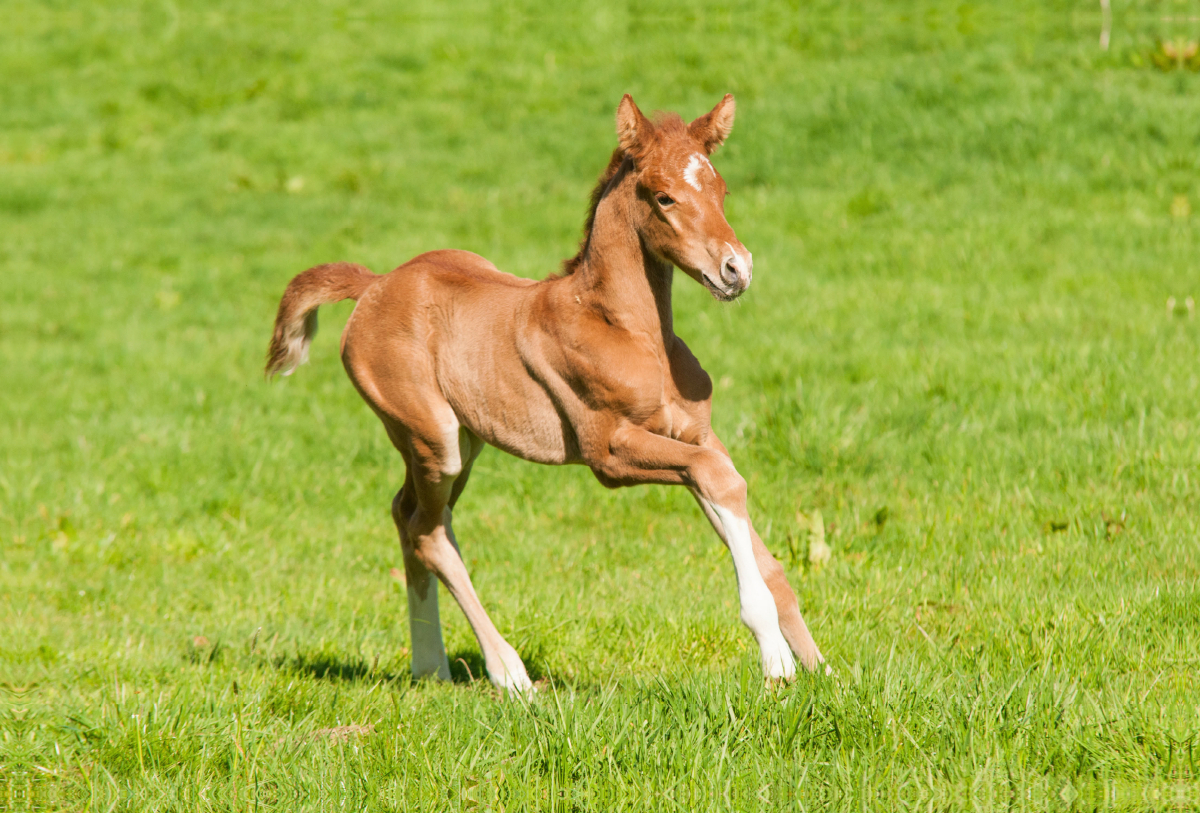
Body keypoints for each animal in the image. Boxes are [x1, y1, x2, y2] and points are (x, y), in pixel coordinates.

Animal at [265, 95, 825, 695]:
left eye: (721, 190)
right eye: (664, 196)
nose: (736, 269)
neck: (632, 333)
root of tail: (372, 284)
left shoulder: (694, 433)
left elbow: (742, 513)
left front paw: (822, 669)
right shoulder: (610, 451)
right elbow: (719, 478)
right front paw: (777, 661)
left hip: (463, 442)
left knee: (412, 516)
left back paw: (431, 667)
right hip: (432, 438)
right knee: (426, 532)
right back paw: (510, 675)